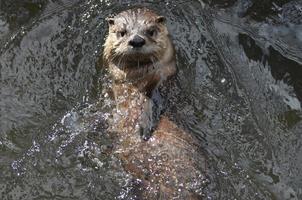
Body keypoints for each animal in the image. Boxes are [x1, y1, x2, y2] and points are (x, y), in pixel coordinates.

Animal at [102, 7, 206, 198]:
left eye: (150, 31)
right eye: (122, 32)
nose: (136, 40)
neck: (138, 80)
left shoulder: (163, 80)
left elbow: (153, 100)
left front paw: (144, 126)